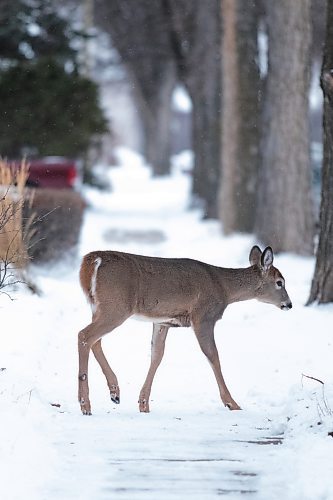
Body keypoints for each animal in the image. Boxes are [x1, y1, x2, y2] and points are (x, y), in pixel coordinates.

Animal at [78, 245, 290, 414]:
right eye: (280, 282)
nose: (289, 304)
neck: (224, 288)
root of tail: (92, 261)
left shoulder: (163, 321)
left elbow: (157, 355)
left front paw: (144, 404)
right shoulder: (204, 316)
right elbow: (213, 355)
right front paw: (232, 403)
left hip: (99, 308)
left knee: (95, 340)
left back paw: (114, 392)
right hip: (116, 306)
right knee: (84, 335)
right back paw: (85, 404)